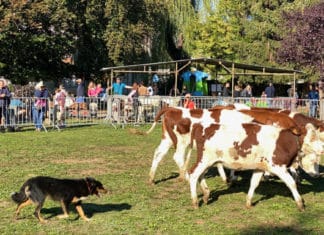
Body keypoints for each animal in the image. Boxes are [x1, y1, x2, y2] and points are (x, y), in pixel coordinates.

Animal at [147, 105, 302, 185]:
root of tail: (172, 109)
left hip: (167, 139)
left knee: (158, 153)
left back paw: (152, 178)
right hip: (181, 142)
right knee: (178, 157)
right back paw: (185, 176)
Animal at [187, 121, 322, 209]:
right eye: (312, 137)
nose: (321, 149)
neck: (284, 142)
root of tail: (201, 126)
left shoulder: (260, 168)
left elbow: (254, 184)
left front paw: (248, 202)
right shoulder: (278, 167)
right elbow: (291, 183)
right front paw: (300, 204)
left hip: (209, 162)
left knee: (200, 175)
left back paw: (206, 194)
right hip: (205, 160)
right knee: (193, 175)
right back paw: (195, 202)